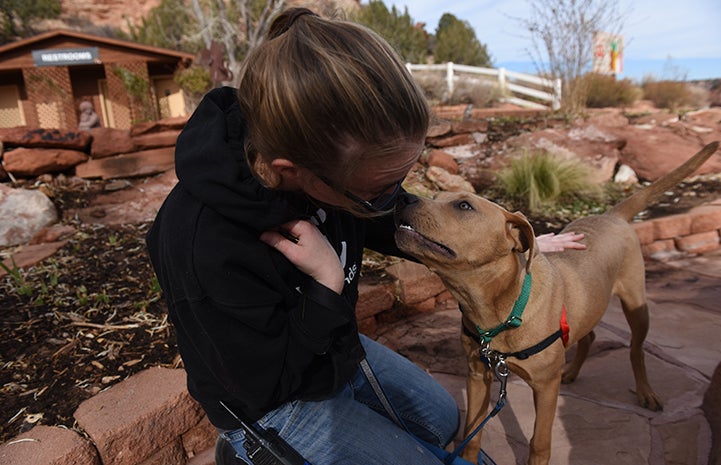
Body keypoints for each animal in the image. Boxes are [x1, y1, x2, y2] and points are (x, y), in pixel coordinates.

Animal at [396, 142, 716, 464]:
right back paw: (572, 371)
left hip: (637, 305)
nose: (403, 198)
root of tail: (611, 215)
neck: (499, 308)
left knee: (636, 351)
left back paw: (645, 392)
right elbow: (472, 435)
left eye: (464, 206)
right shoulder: (477, 375)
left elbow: (539, 441)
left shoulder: (545, 387)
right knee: (589, 336)